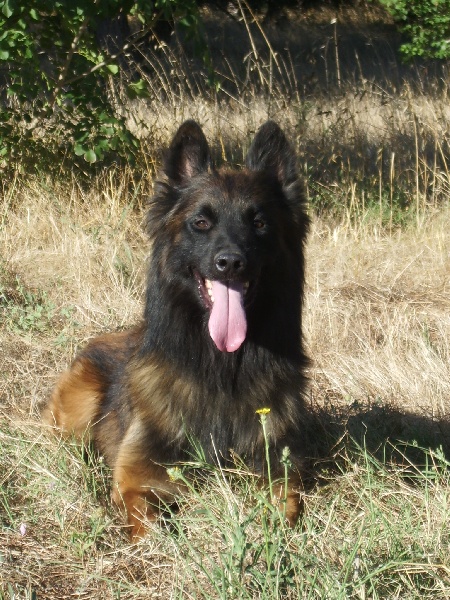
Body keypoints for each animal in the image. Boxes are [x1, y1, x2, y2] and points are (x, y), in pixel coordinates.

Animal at [44, 120, 310, 540]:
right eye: (200, 222)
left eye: (260, 223)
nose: (230, 262)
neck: (219, 369)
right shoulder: (137, 481)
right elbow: (152, 528)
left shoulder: (280, 473)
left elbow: (284, 510)